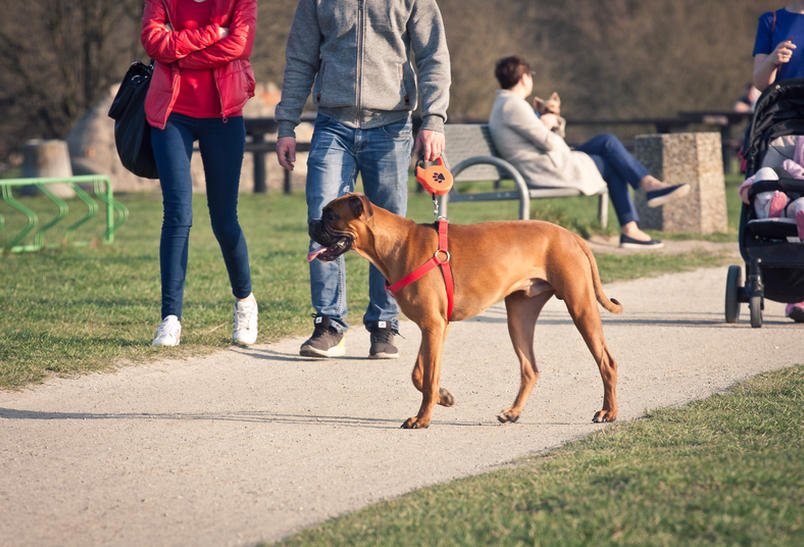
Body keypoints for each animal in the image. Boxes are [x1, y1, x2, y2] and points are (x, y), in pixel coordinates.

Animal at [308, 193, 620, 428]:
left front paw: (422, 419)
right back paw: (513, 413)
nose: (311, 222)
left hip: (580, 306)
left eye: (331, 215)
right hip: (519, 316)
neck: (396, 243)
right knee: (530, 368)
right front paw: (443, 397)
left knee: (607, 362)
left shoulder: (434, 326)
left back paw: (608, 412)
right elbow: (419, 374)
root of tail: (571, 235)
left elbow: (428, 377)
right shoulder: (434, 327)